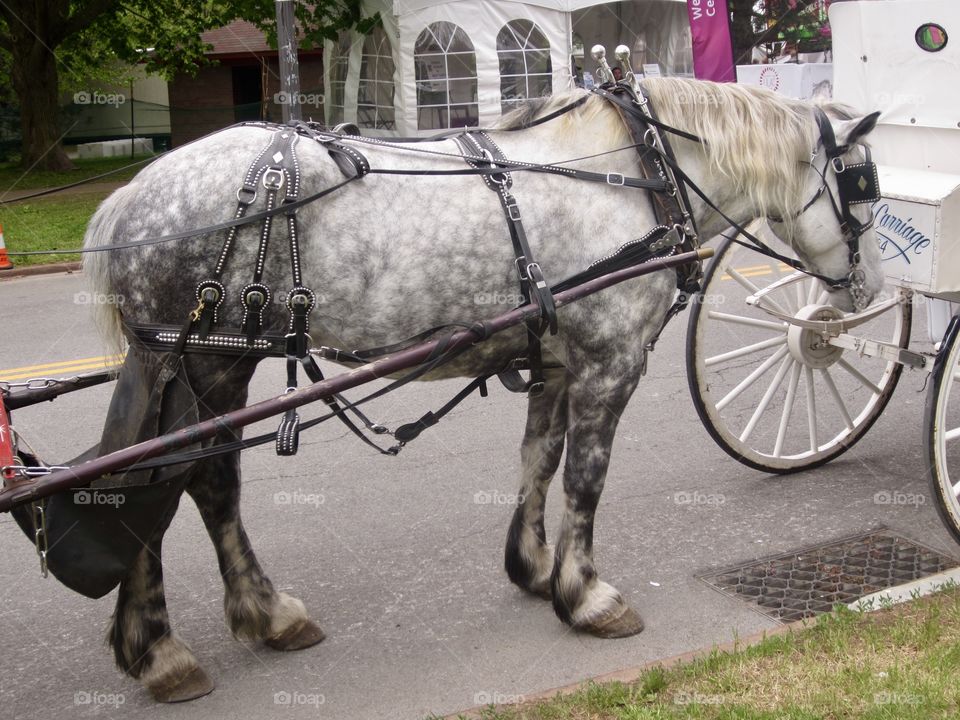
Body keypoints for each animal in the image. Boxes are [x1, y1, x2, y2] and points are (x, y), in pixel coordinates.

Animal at [82, 77, 885, 701]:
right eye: (862, 185)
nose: (869, 288)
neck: (639, 173)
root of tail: (128, 201)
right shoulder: (611, 359)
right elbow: (587, 478)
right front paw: (586, 594)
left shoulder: (556, 359)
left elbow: (539, 459)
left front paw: (533, 566)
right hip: (207, 364)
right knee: (187, 483)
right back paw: (192, 639)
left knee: (158, 486)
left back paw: (196, 632)